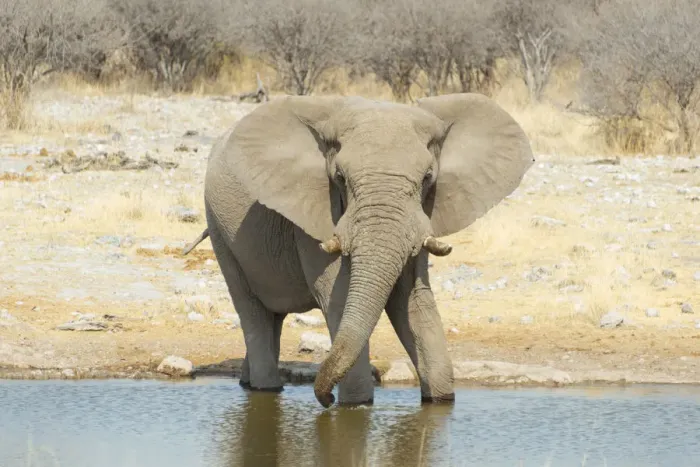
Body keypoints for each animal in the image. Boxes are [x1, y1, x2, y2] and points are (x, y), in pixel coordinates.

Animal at [182, 93, 534, 408]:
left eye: (427, 178)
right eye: (339, 177)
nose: (324, 400)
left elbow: (414, 301)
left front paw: (439, 400)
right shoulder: (316, 214)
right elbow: (336, 297)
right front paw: (355, 404)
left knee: (273, 319)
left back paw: (248, 381)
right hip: (218, 227)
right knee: (250, 308)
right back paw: (266, 387)